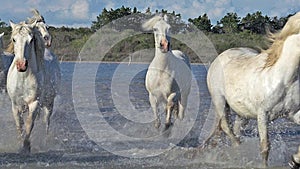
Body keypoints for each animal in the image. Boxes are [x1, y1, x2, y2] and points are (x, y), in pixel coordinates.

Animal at [205, 11, 300, 166]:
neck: (284, 78)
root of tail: (221, 56)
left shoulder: (293, 113)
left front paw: (294, 160)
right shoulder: (263, 114)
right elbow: (265, 147)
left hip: (242, 113)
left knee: (235, 129)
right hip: (220, 101)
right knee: (226, 127)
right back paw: (239, 150)